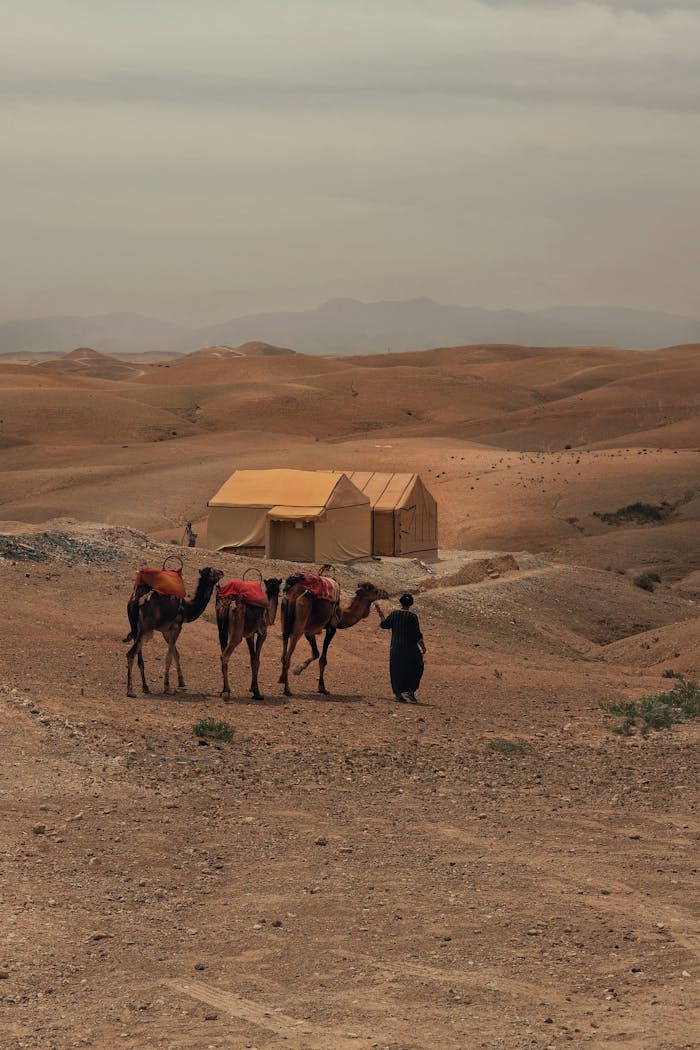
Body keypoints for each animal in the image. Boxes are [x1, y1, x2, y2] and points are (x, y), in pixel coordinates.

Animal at [125, 566, 223, 697]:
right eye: (213, 572)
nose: (222, 572)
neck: (187, 609)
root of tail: (137, 600)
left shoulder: (166, 632)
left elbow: (176, 653)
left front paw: (181, 682)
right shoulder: (176, 627)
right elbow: (169, 656)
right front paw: (167, 687)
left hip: (137, 628)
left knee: (139, 657)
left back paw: (145, 687)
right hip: (146, 629)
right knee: (131, 654)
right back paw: (130, 691)